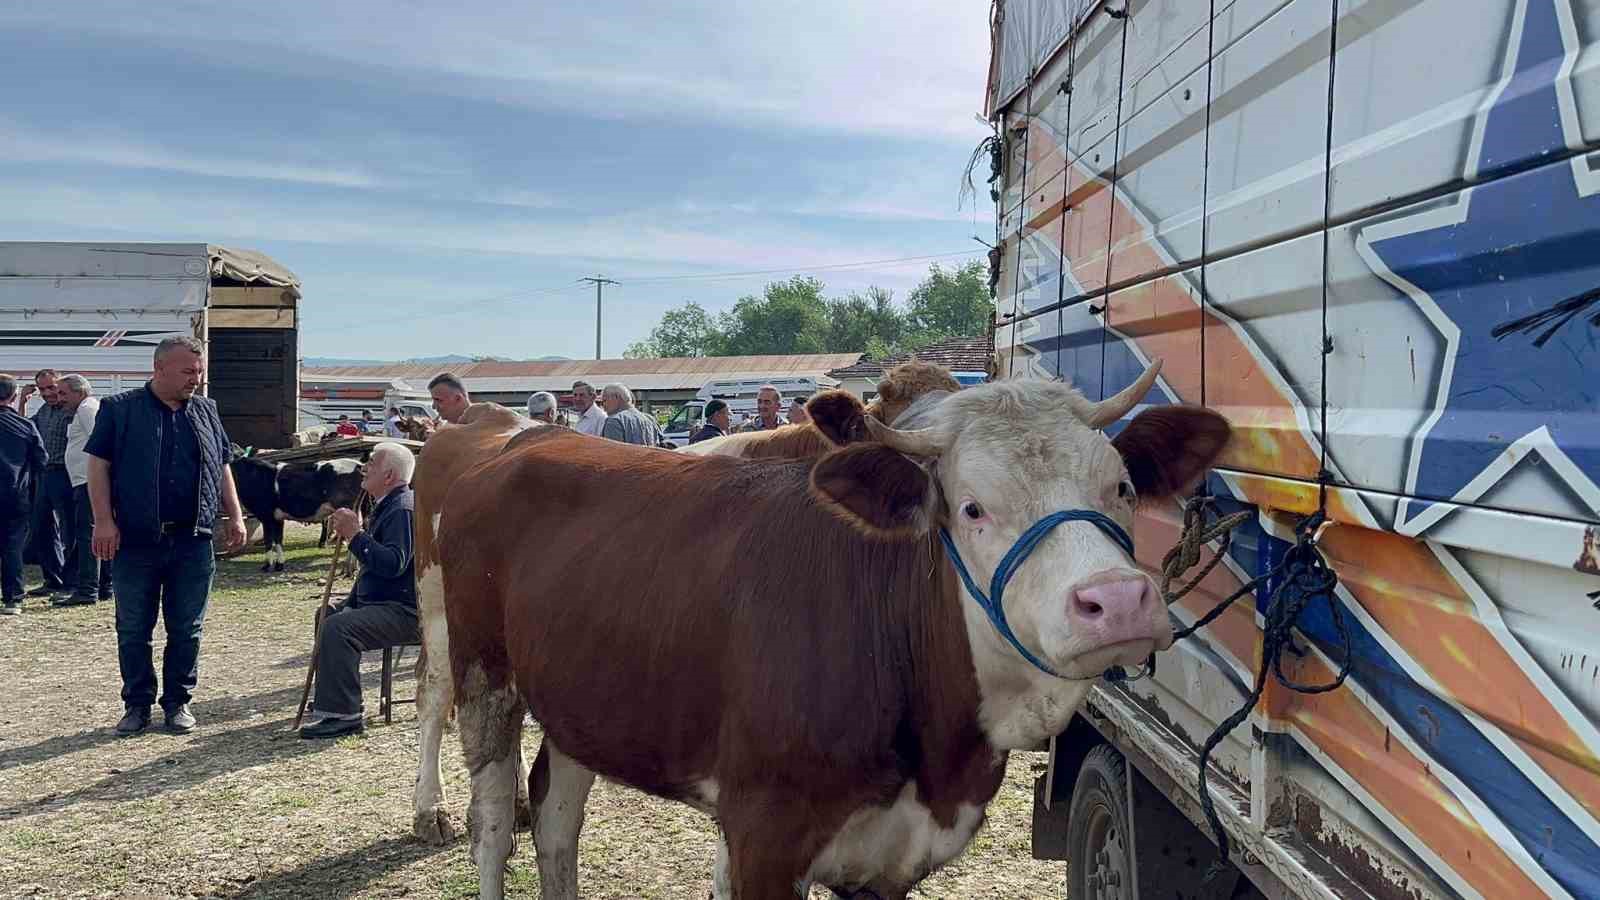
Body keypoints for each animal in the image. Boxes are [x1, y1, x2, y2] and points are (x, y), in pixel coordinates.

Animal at [230, 454, 364, 566]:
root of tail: (359, 465)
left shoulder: (266, 516)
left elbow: (269, 541)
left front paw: (267, 565)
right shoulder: (278, 518)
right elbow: (278, 540)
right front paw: (279, 564)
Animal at [438, 366, 1222, 896]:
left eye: (1122, 488)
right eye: (971, 507)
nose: (1116, 600)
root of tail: (521, 433)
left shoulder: (894, 858)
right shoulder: (762, 838)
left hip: (583, 701)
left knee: (555, 817)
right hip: (483, 674)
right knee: (493, 826)